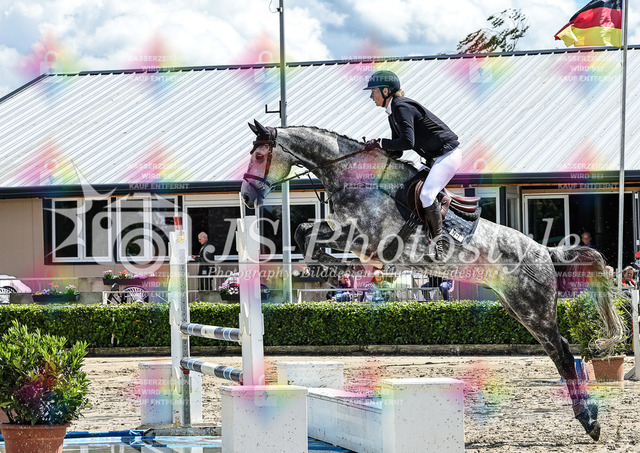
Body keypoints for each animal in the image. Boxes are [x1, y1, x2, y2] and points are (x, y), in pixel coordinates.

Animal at [240, 120, 625, 441]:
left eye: (259, 155)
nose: (246, 198)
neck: (357, 177)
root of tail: (545, 252)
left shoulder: (369, 238)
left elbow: (316, 237)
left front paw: (348, 271)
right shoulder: (344, 231)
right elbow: (307, 231)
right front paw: (332, 268)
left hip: (534, 308)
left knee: (563, 353)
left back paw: (590, 421)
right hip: (517, 306)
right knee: (558, 351)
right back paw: (588, 416)